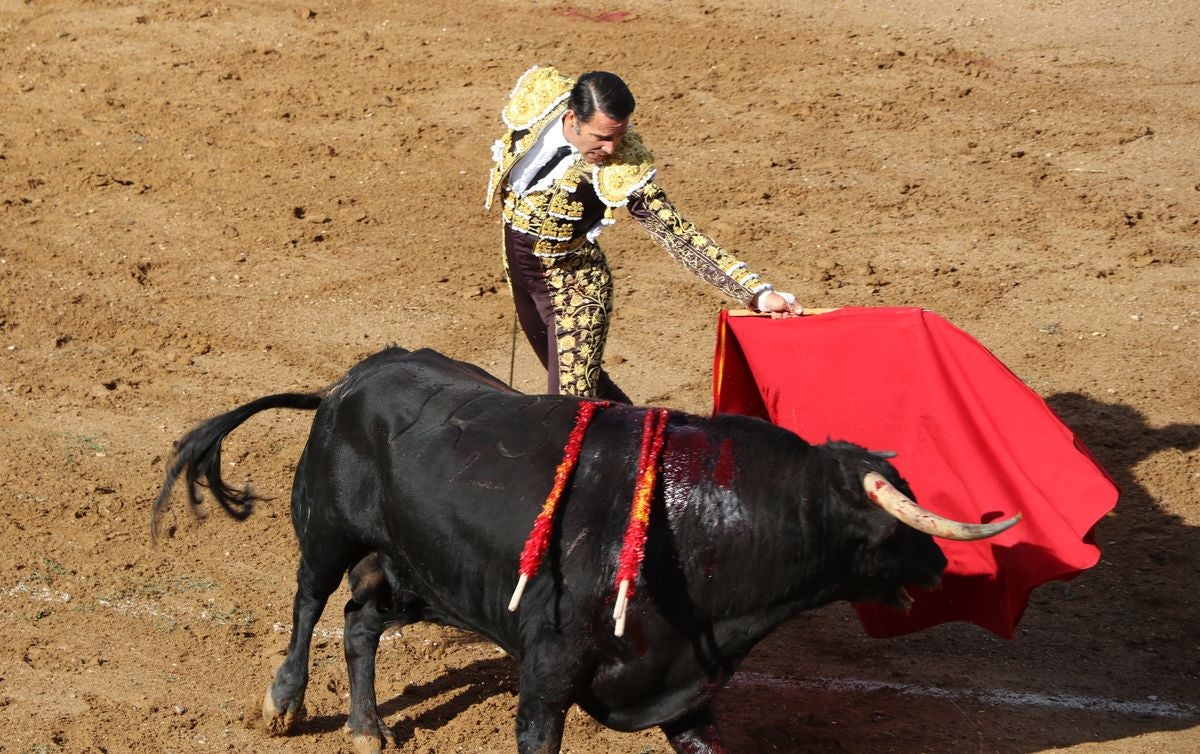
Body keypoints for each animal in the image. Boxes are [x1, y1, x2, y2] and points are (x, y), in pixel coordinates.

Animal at [150, 348, 993, 754]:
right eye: (897, 528)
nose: (942, 564)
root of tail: (351, 379)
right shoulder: (549, 675)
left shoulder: (684, 691)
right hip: (328, 530)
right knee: (308, 603)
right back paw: (282, 706)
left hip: (421, 576)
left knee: (359, 620)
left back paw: (365, 731)